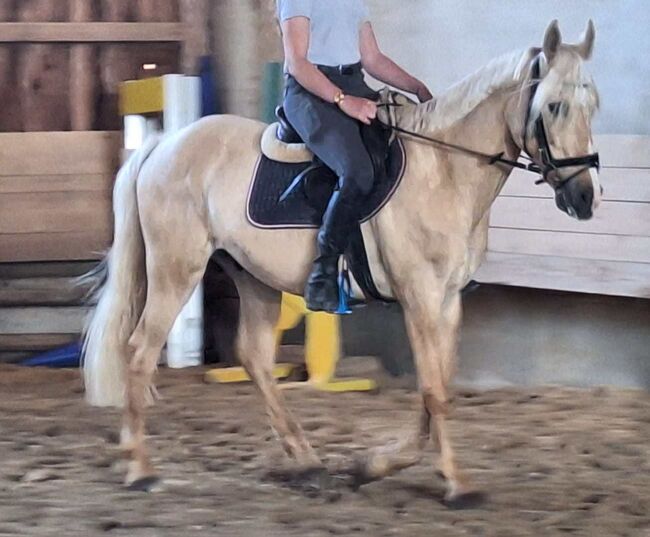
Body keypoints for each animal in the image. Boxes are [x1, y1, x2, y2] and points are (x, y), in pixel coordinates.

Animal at [83, 17, 600, 502]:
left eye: (593, 105)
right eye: (554, 106)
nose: (585, 198)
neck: (444, 171)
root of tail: (164, 145)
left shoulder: (448, 300)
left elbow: (437, 392)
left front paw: (375, 465)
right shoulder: (419, 296)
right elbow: (434, 392)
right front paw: (456, 484)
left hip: (252, 276)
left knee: (254, 357)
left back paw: (307, 460)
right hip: (176, 269)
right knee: (139, 351)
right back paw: (140, 468)